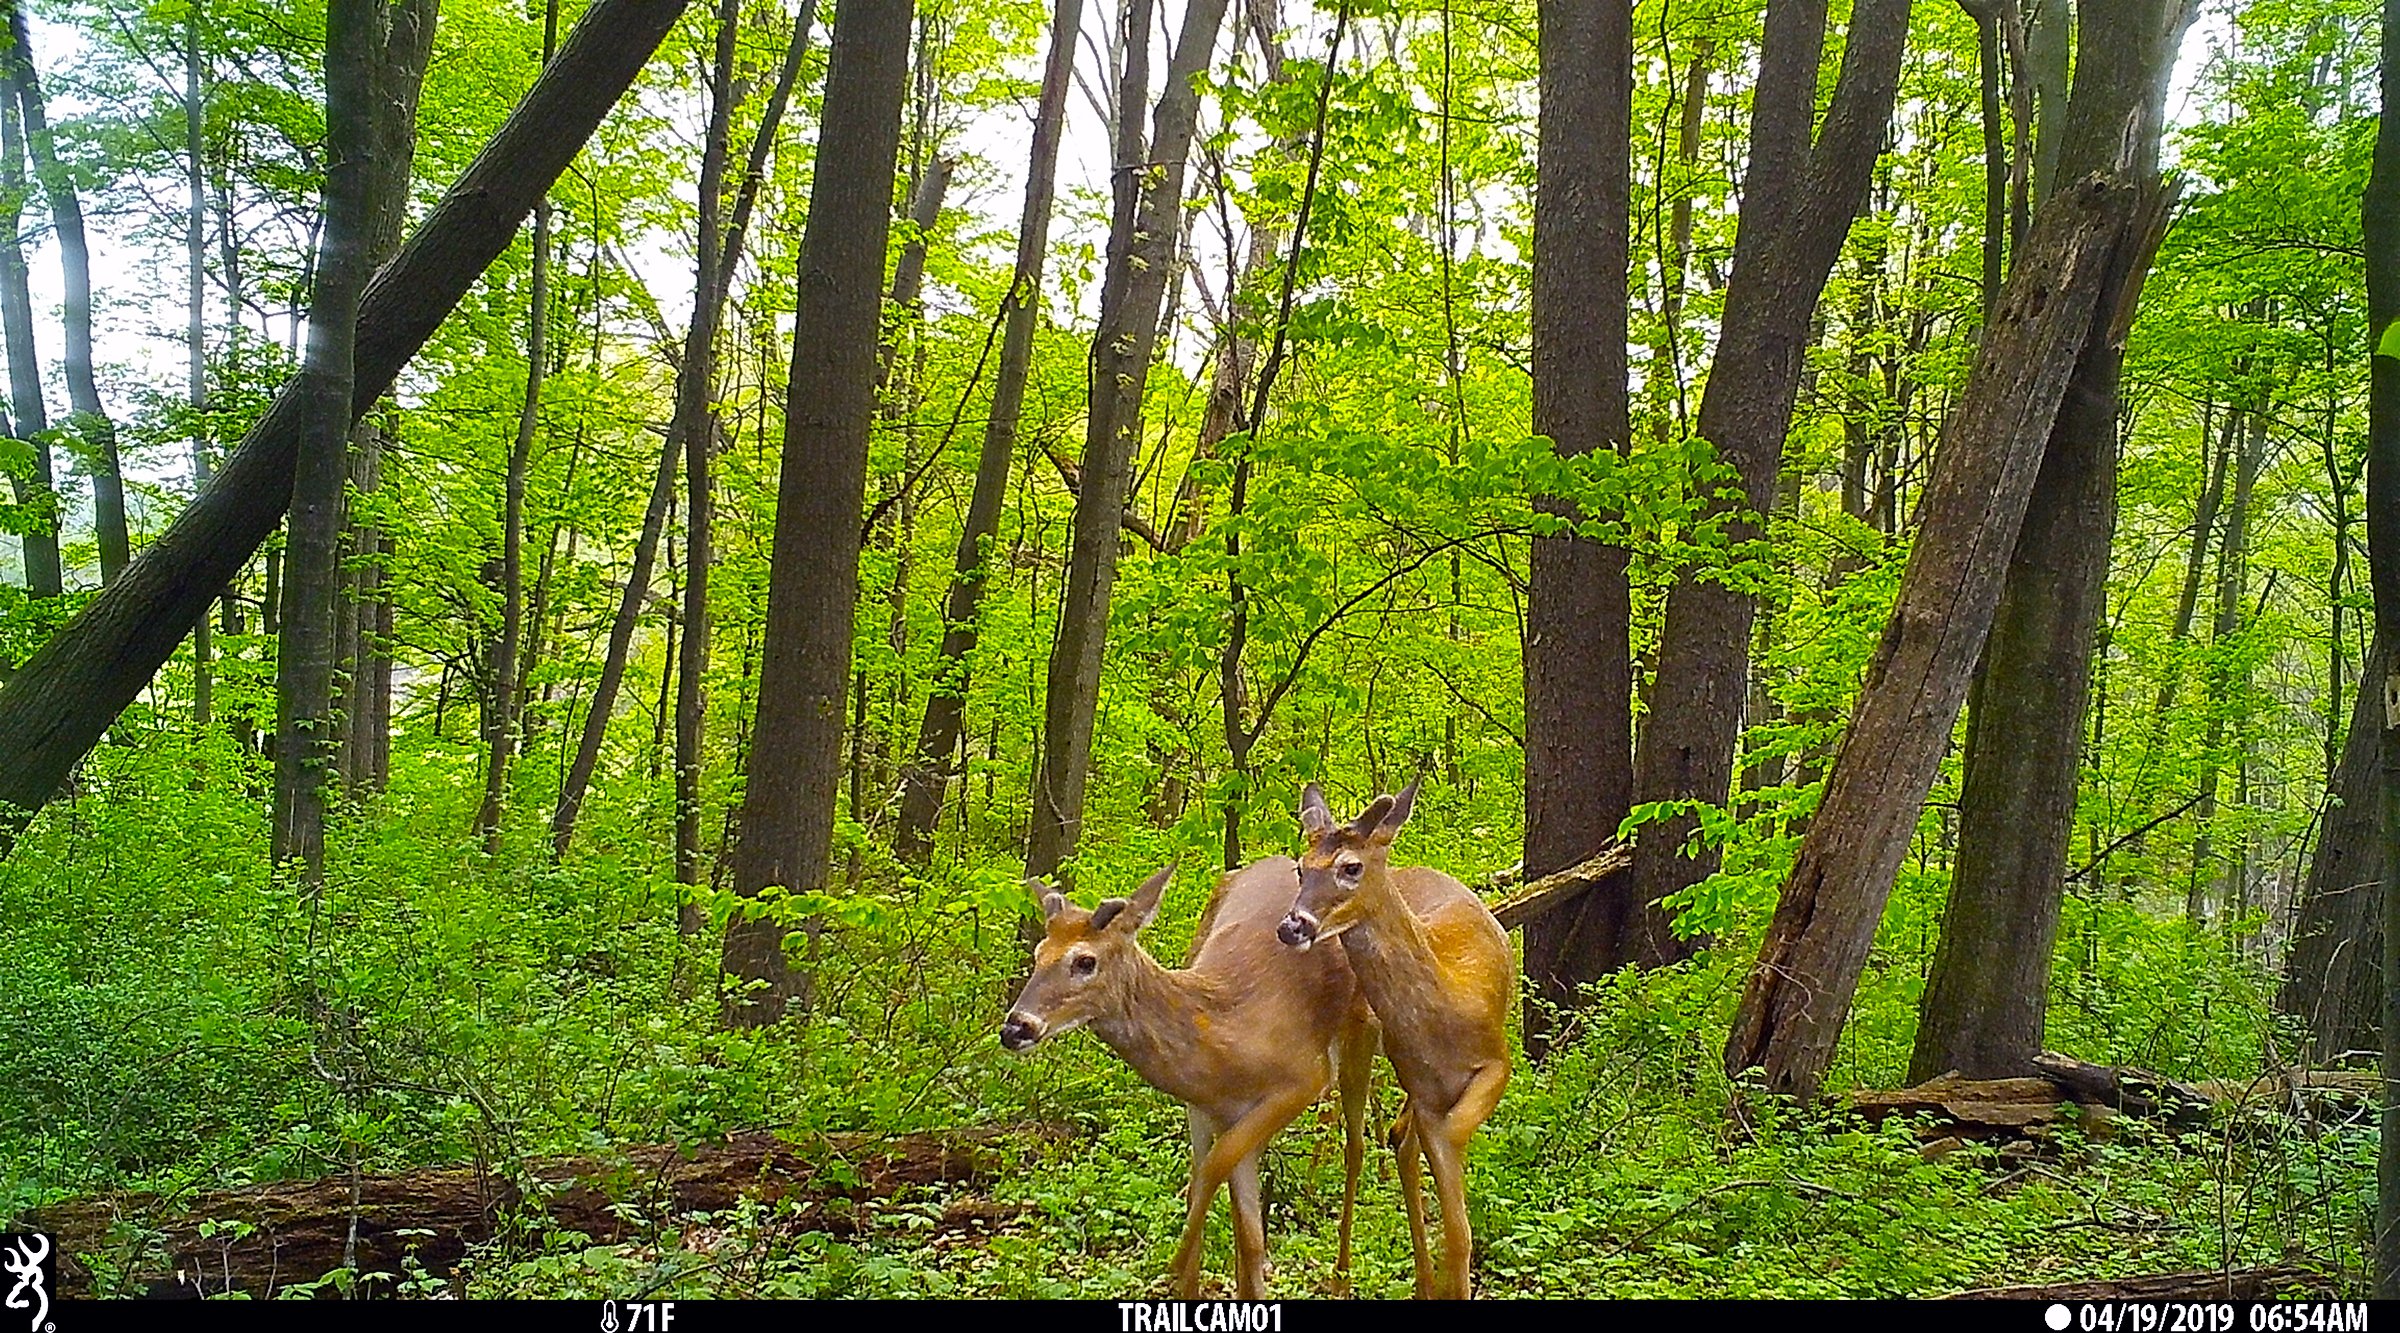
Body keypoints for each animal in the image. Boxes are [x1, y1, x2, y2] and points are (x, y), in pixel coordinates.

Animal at [1000, 858, 1378, 1298]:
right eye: (1039, 953)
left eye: (1085, 961)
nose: (1015, 1028)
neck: (1226, 1040)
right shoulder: (1201, 1106)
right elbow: (1234, 1213)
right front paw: (1194, 1278)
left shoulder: (1304, 1078)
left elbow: (1217, 1166)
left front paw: (1174, 1265)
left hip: (1364, 1031)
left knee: (1356, 1147)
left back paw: (1341, 1277)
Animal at [1277, 777, 1512, 1299]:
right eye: (1301, 867)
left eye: (1351, 866)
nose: (1291, 926)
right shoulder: (1423, 1087)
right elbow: (1456, 1223)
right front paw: (1447, 1276)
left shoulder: (1496, 1063)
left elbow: (1454, 1204)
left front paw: (1447, 1276)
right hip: (1358, 1032)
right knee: (1358, 1145)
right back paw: (1344, 1277)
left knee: (1397, 1141)